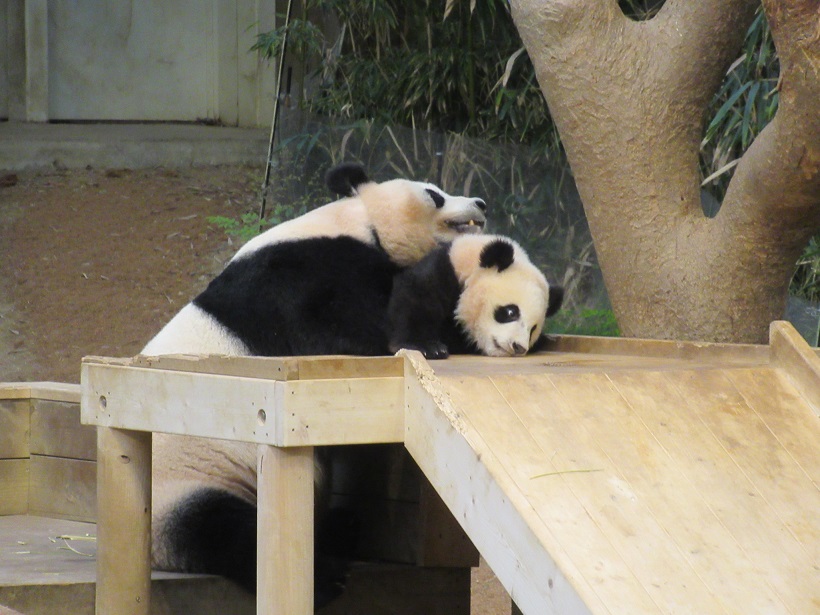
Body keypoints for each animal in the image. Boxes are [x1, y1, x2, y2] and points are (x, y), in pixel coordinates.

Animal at [390, 236, 564, 360]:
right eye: (511, 312)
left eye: (533, 329)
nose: (519, 347)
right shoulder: (441, 274)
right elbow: (416, 301)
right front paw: (429, 347)